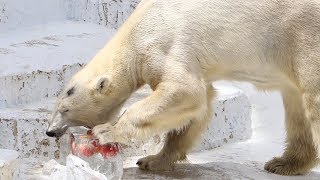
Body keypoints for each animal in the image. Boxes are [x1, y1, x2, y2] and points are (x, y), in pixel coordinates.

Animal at [46, 0, 320, 176]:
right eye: (57, 106)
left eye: (65, 108)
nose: (49, 131)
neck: (138, 29)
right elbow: (199, 103)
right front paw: (152, 160)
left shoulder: (166, 44)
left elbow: (183, 90)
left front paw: (106, 131)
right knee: (296, 104)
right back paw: (284, 163)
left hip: (302, 35)